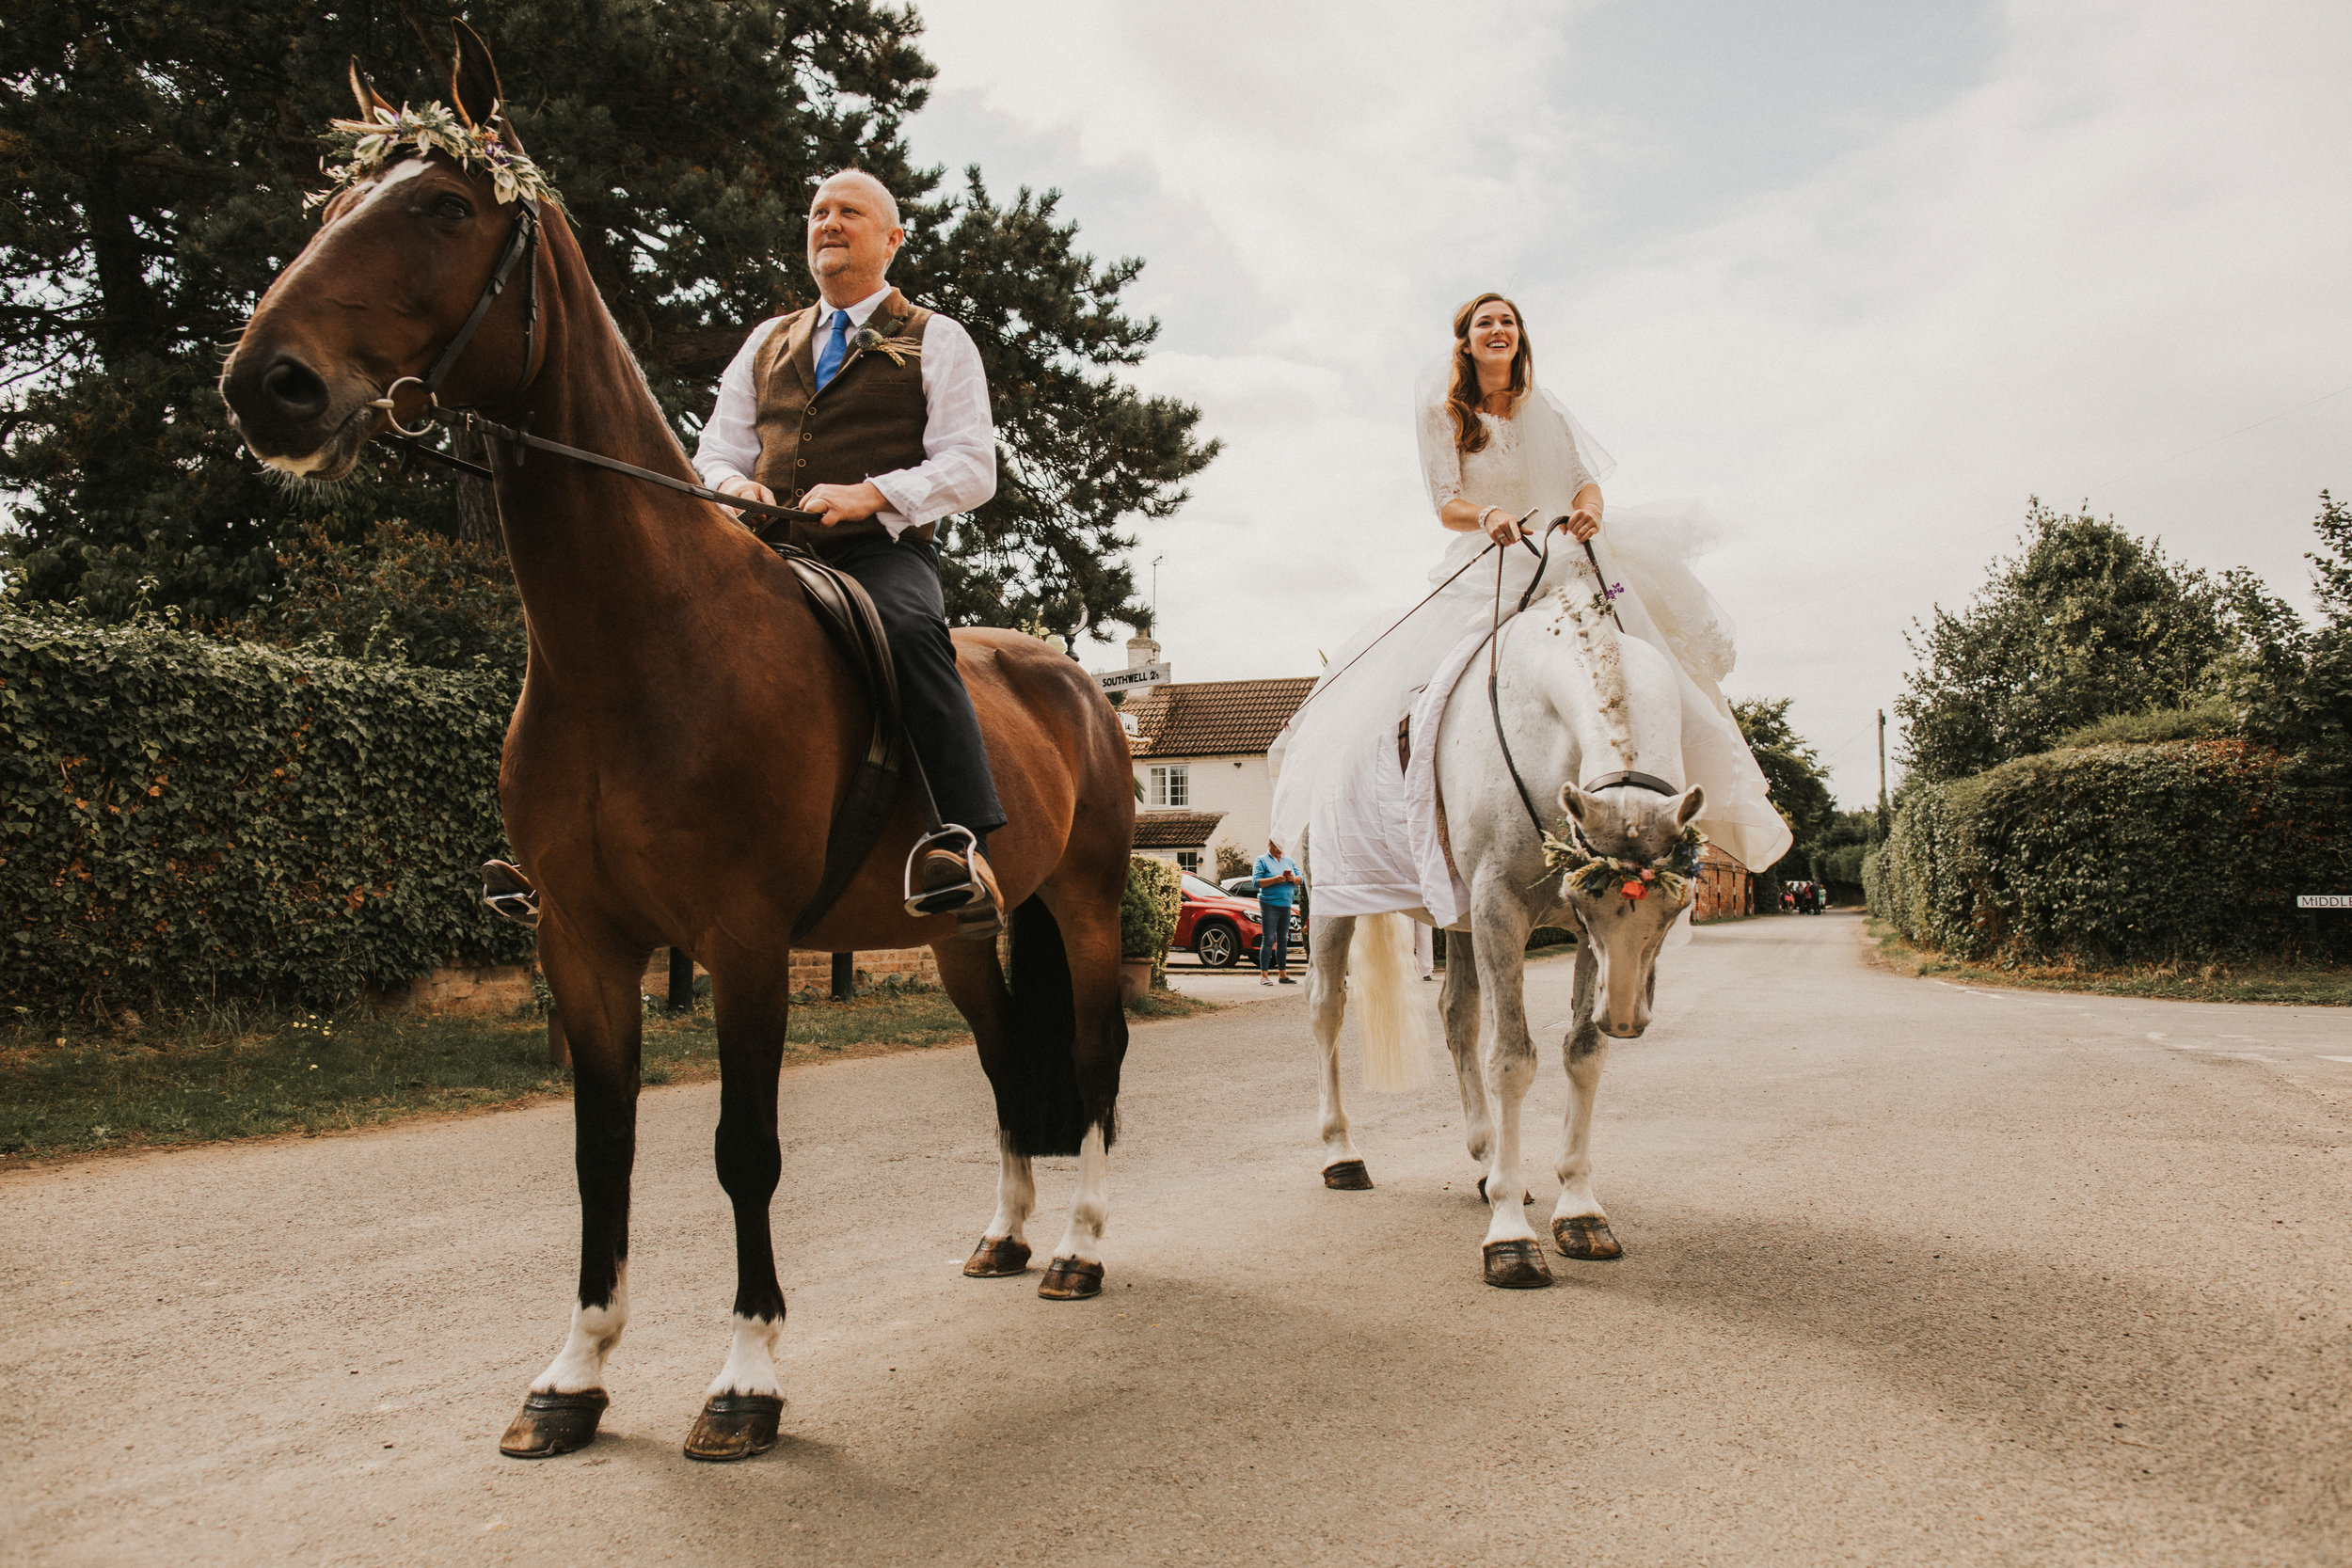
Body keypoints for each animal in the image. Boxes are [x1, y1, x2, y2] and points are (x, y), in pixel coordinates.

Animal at [218, 27, 1129, 1476]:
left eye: (443, 207)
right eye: (337, 202)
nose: (269, 385)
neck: (640, 638)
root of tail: (1080, 685)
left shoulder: (744, 938)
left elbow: (742, 1147)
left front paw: (747, 1376)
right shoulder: (583, 941)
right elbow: (604, 1151)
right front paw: (574, 1373)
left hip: (1085, 908)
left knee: (1089, 1061)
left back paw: (1081, 1250)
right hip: (961, 931)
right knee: (1002, 1063)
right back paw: (1006, 1234)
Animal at [1308, 576, 1712, 1288]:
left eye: (1675, 905)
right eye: (1585, 897)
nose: (1626, 1017)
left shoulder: (1573, 940)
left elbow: (1581, 1050)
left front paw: (1578, 1209)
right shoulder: (1501, 910)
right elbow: (1513, 1059)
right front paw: (1510, 1238)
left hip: (1458, 919)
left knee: (1457, 1014)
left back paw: (1488, 1158)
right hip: (1338, 898)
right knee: (1329, 1009)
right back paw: (1342, 1153)